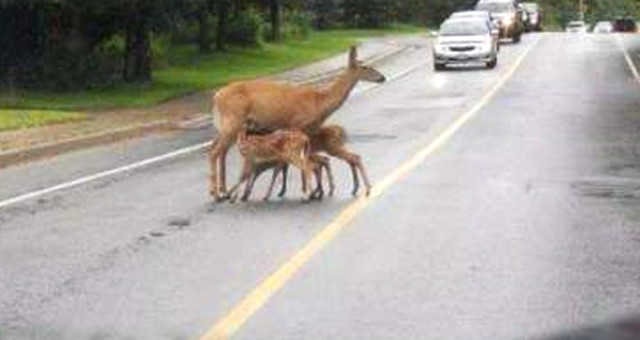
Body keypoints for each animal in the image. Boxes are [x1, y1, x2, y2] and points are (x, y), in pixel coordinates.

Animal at [210, 45, 384, 199]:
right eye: (366, 67)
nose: (383, 78)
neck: (319, 102)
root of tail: (217, 96)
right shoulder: (298, 125)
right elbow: (301, 161)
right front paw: (308, 191)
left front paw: (309, 190)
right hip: (233, 121)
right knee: (215, 151)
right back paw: (217, 193)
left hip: (229, 125)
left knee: (219, 149)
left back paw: (223, 190)